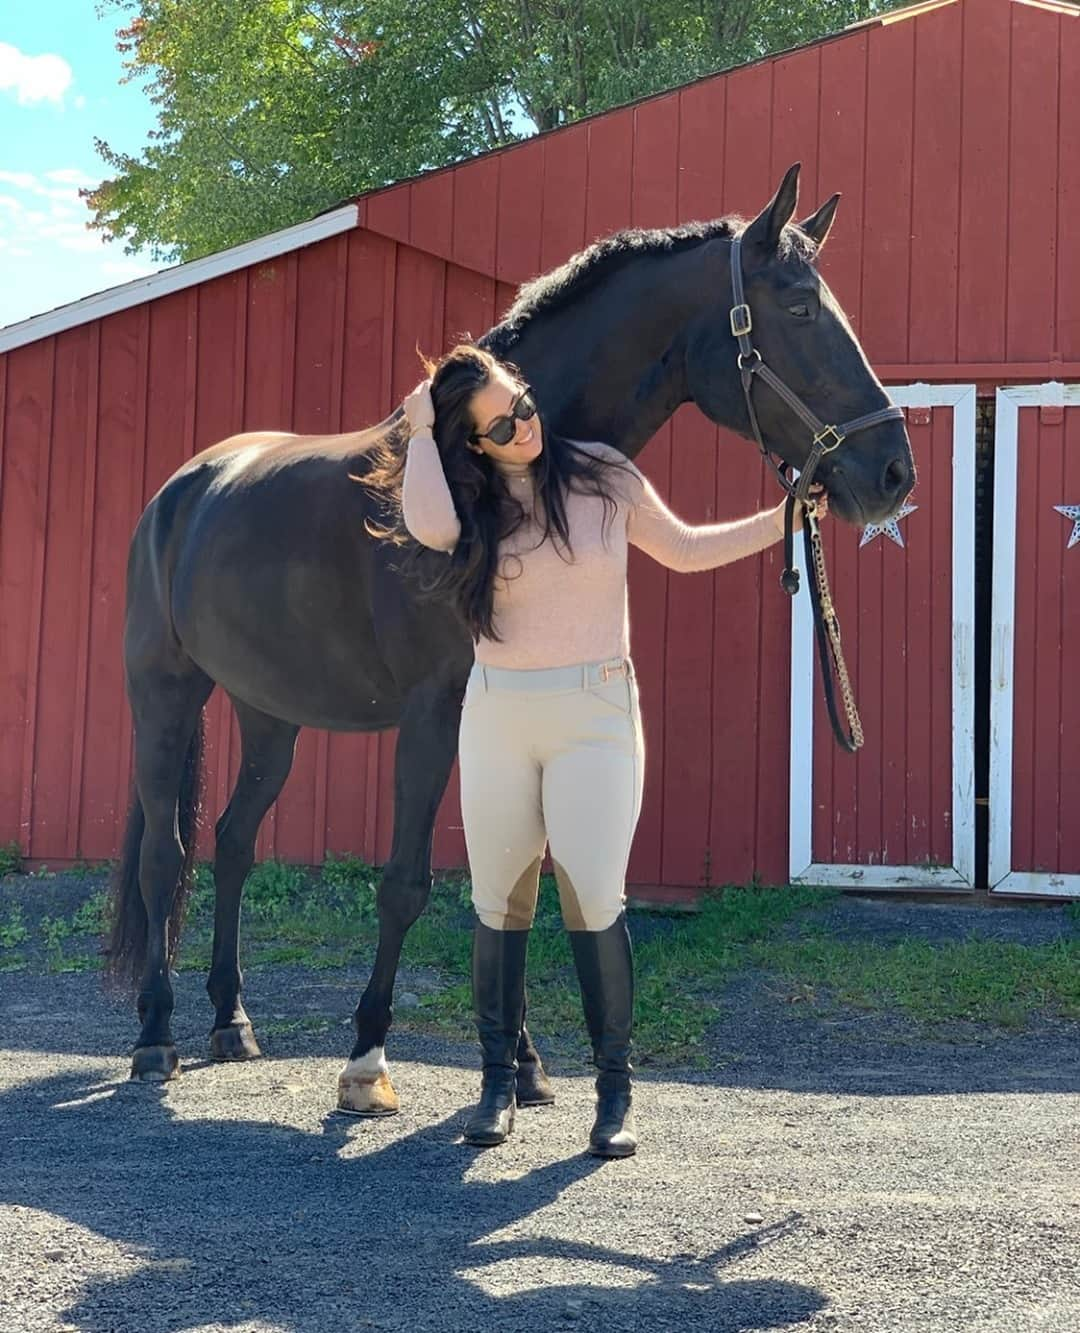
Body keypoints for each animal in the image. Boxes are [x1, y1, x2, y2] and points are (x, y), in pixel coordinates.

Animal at [109, 161, 912, 1109]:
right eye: (797, 307)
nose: (892, 471)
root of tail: (183, 489)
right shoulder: (433, 715)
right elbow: (407, 885)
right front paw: (367, 1057)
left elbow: (515, 882)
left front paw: (524, 1066)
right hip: (164, 697)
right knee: (163, 857)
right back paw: (154, 1035)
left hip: (269, 713)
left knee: (232, 843)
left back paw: (231, 1021)